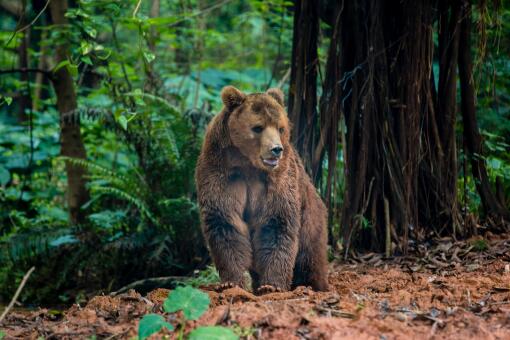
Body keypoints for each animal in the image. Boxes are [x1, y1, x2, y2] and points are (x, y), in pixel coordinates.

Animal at [193, 86, 328, 294]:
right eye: (258, 127)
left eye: (280, 128)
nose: (276, 149)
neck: (247, 163)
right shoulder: (221, 172)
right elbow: (225, 222)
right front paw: (231, 282)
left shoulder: (278, 179)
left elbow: (276, 223)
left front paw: (272, 285)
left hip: (311, 220)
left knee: (310, 258)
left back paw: (311, 284)